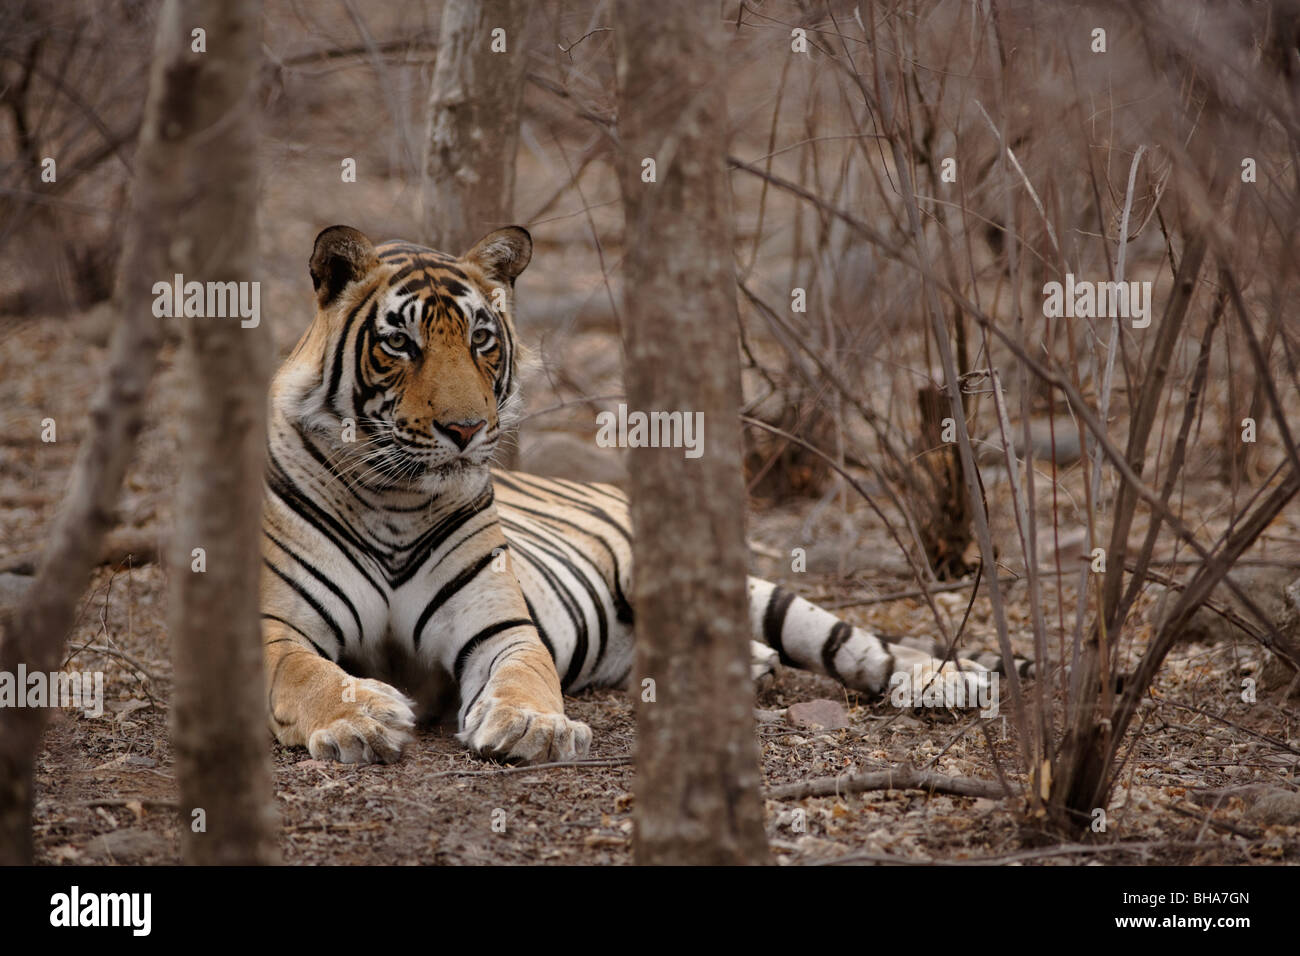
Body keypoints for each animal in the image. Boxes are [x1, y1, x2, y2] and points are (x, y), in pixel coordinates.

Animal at [258, 222, 998, 764]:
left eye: (481, 341)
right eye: (401, 344)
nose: (466, 430)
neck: (396, 500)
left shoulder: (499, 627)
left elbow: (526, 675)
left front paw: (533, 726)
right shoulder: (275, 627)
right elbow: (309, 675)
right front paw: (359, 720)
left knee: (861, 646)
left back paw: (949, 680)